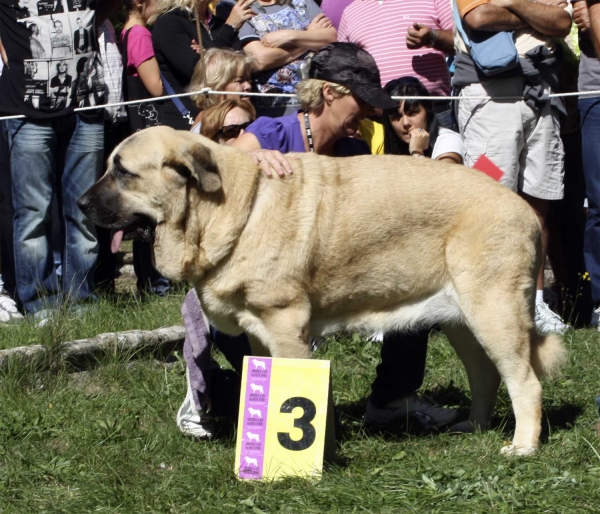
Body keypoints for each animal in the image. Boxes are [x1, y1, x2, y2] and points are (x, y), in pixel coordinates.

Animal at [79, 126, 568, 454]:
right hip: (462, 321)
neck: (227, 207)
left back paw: (523, 447)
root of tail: (524, 208)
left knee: (524, 380)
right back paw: (475, 427)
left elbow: (297, 389)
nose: (81, 204)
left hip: (494, 312)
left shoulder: (285, 325)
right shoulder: (259, 332)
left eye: (123, 172)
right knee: (486, 374)